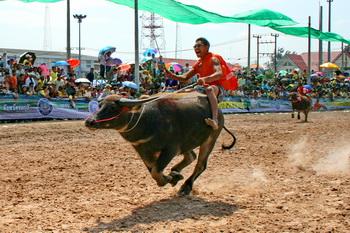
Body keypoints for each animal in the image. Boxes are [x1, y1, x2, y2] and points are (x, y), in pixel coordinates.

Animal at [86, 91, 237, 195]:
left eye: (112, 108)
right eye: (100, 105)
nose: (89, 121)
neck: (148, 120)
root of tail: (219, 111)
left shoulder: (171, 149)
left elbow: (156, 171)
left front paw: (172, 178)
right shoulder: (142, 150)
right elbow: (153, 170)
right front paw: (173, 177)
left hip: (210, 139)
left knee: (200, 165)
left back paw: (185, 187)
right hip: (187, 142)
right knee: (191, 156)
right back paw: (176, 171)